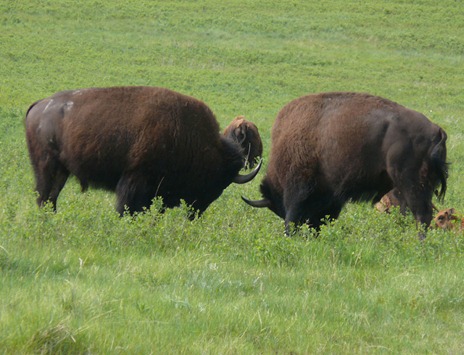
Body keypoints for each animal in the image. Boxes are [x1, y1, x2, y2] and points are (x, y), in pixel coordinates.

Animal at [25, 85, 260, 217]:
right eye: (216, 180)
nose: (196, 212)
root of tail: (39, 105)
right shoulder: (135, 179)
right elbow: (127, 207)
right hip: (46, 167)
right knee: (44, 196)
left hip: (61, 171)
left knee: (50, 198)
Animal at [245, 92, 448, 236]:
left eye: (277, 205)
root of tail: (437, 131)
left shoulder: (297, 189)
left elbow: (292, 218)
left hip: (411, 184)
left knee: (421, 215)